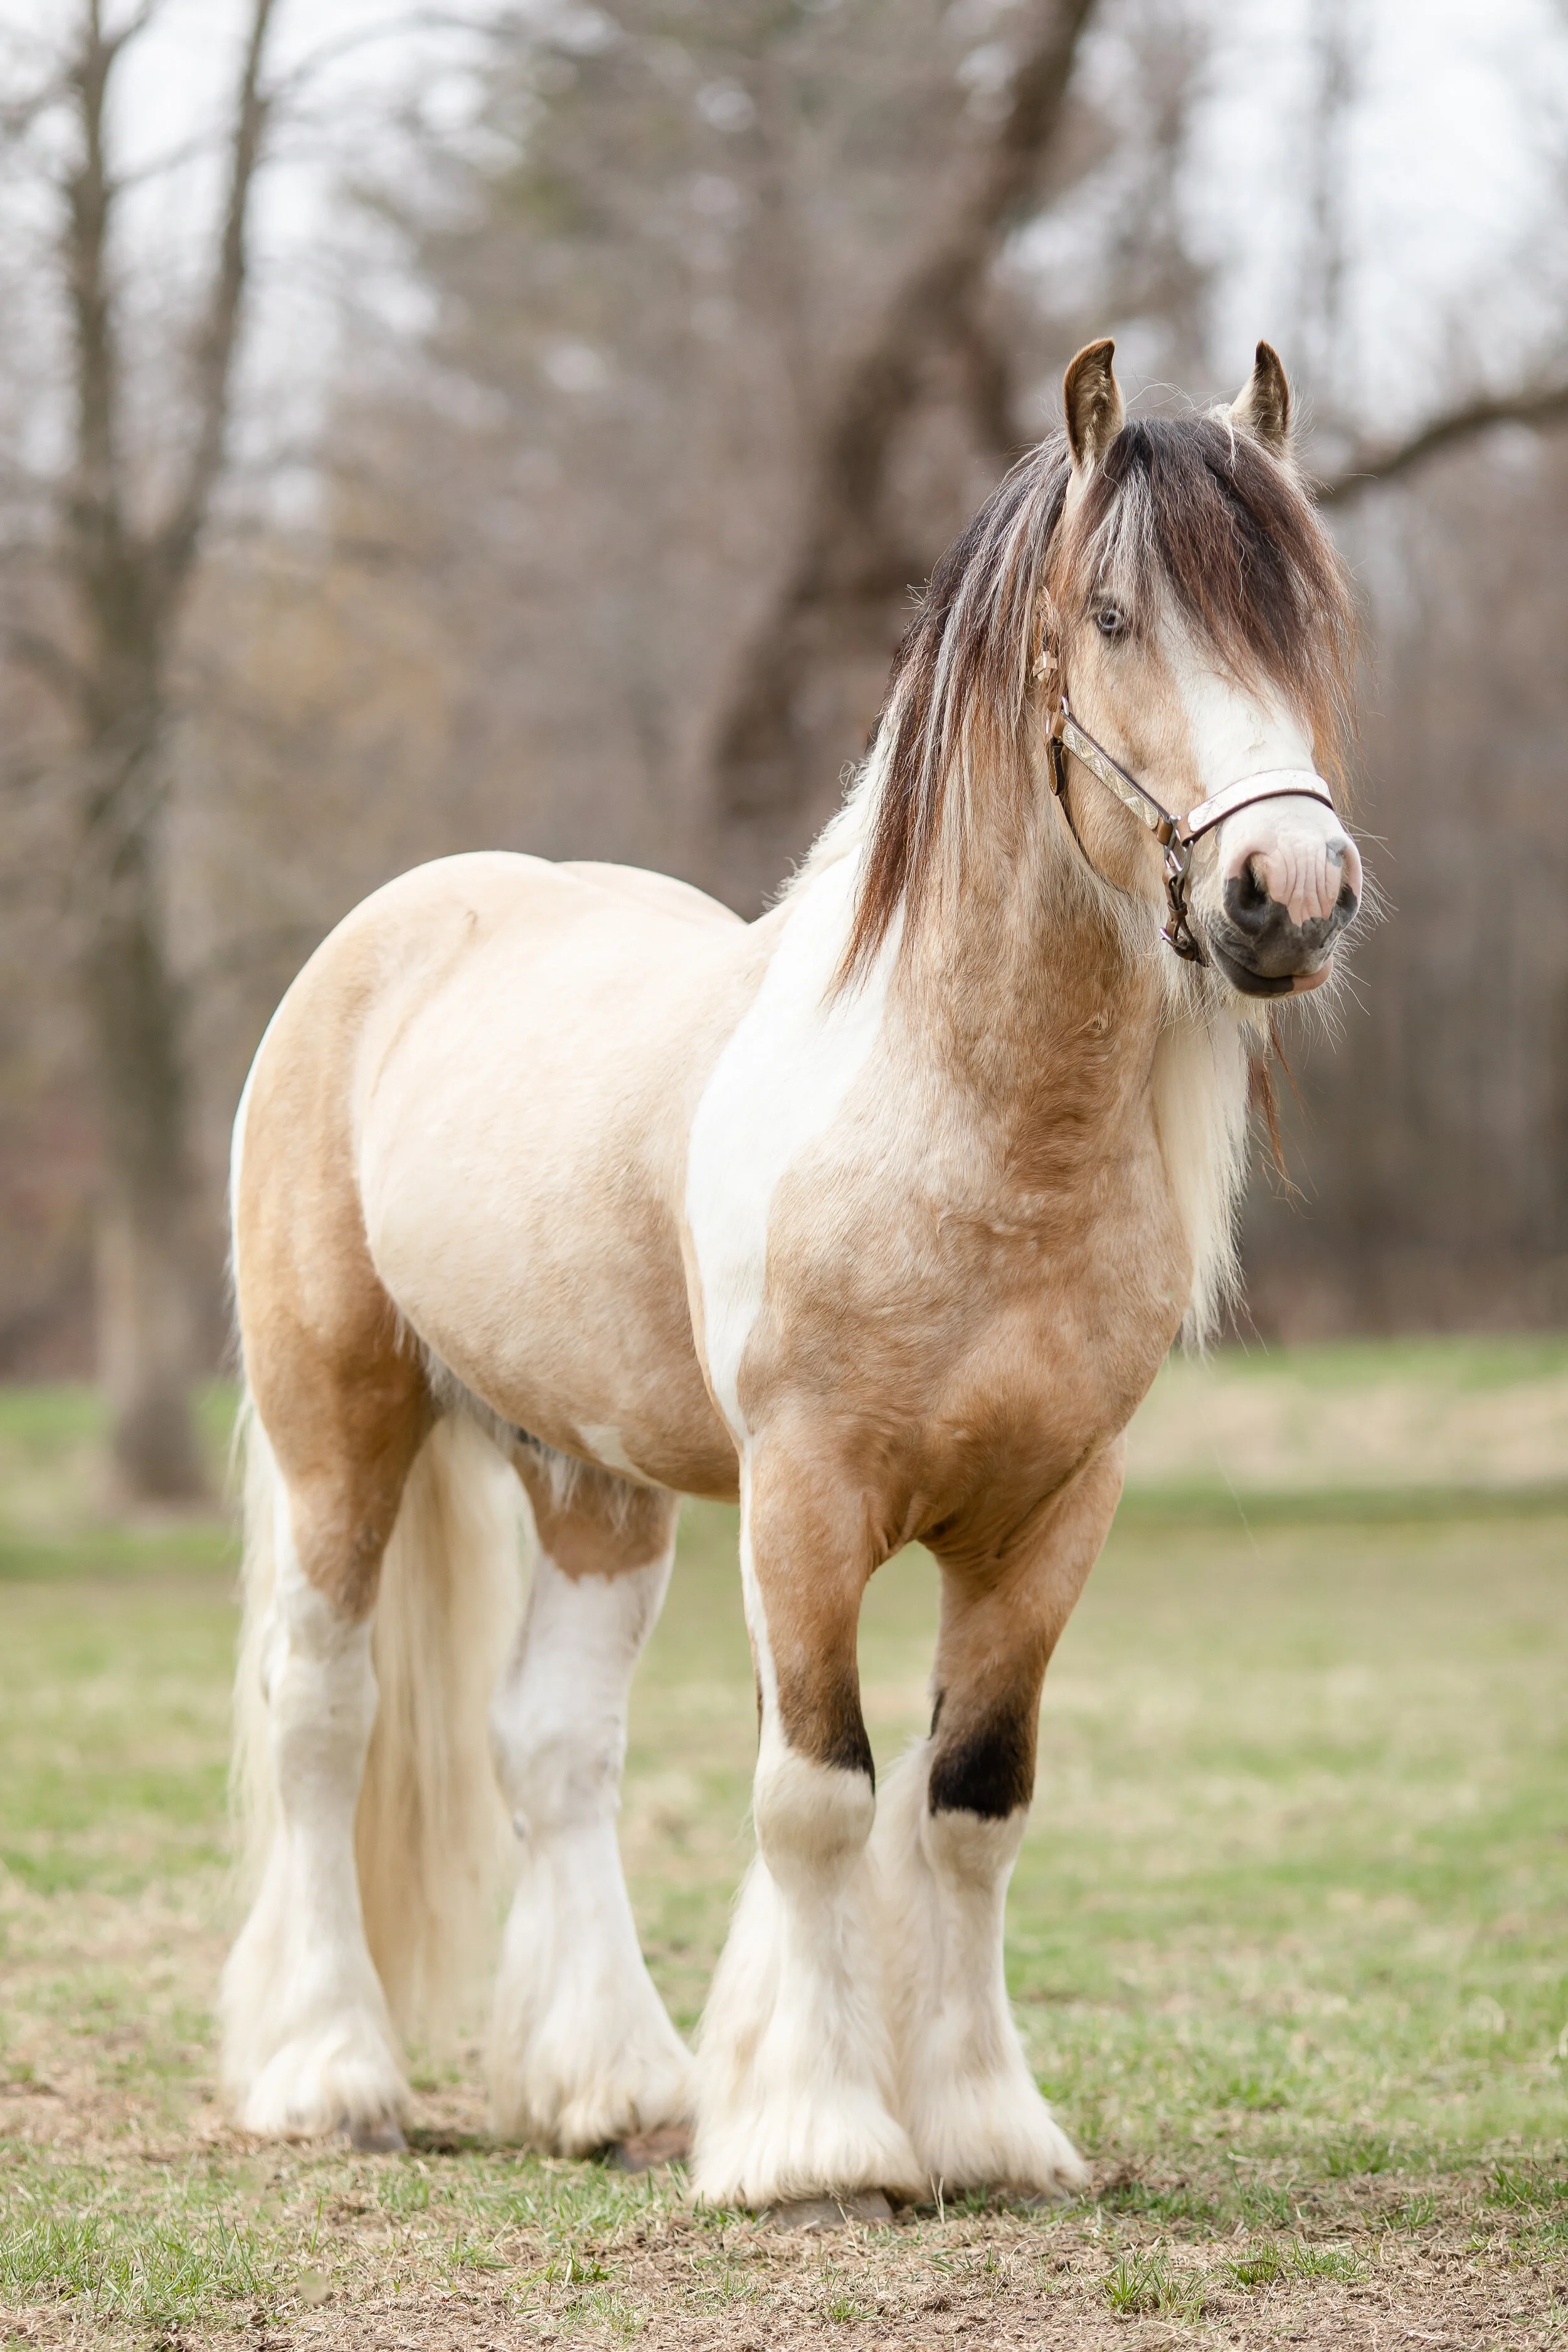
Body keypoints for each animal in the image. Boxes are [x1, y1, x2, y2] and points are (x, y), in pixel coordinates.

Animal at [222, 338, 1362, 2213]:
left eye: (1309, 618)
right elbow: (819, 1791)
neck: (962, 1127)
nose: (1292, 891)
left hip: (595, 1483)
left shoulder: (1051, 1514)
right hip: (341, 1425)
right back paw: (325, 2075)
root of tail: (402, 922)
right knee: (323, 1712)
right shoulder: (807, 1499)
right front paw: (819, 2138)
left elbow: (970, 1800)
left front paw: (983, 2127)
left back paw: (610, 2085)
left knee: (553, 1747)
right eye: (1115, 614)